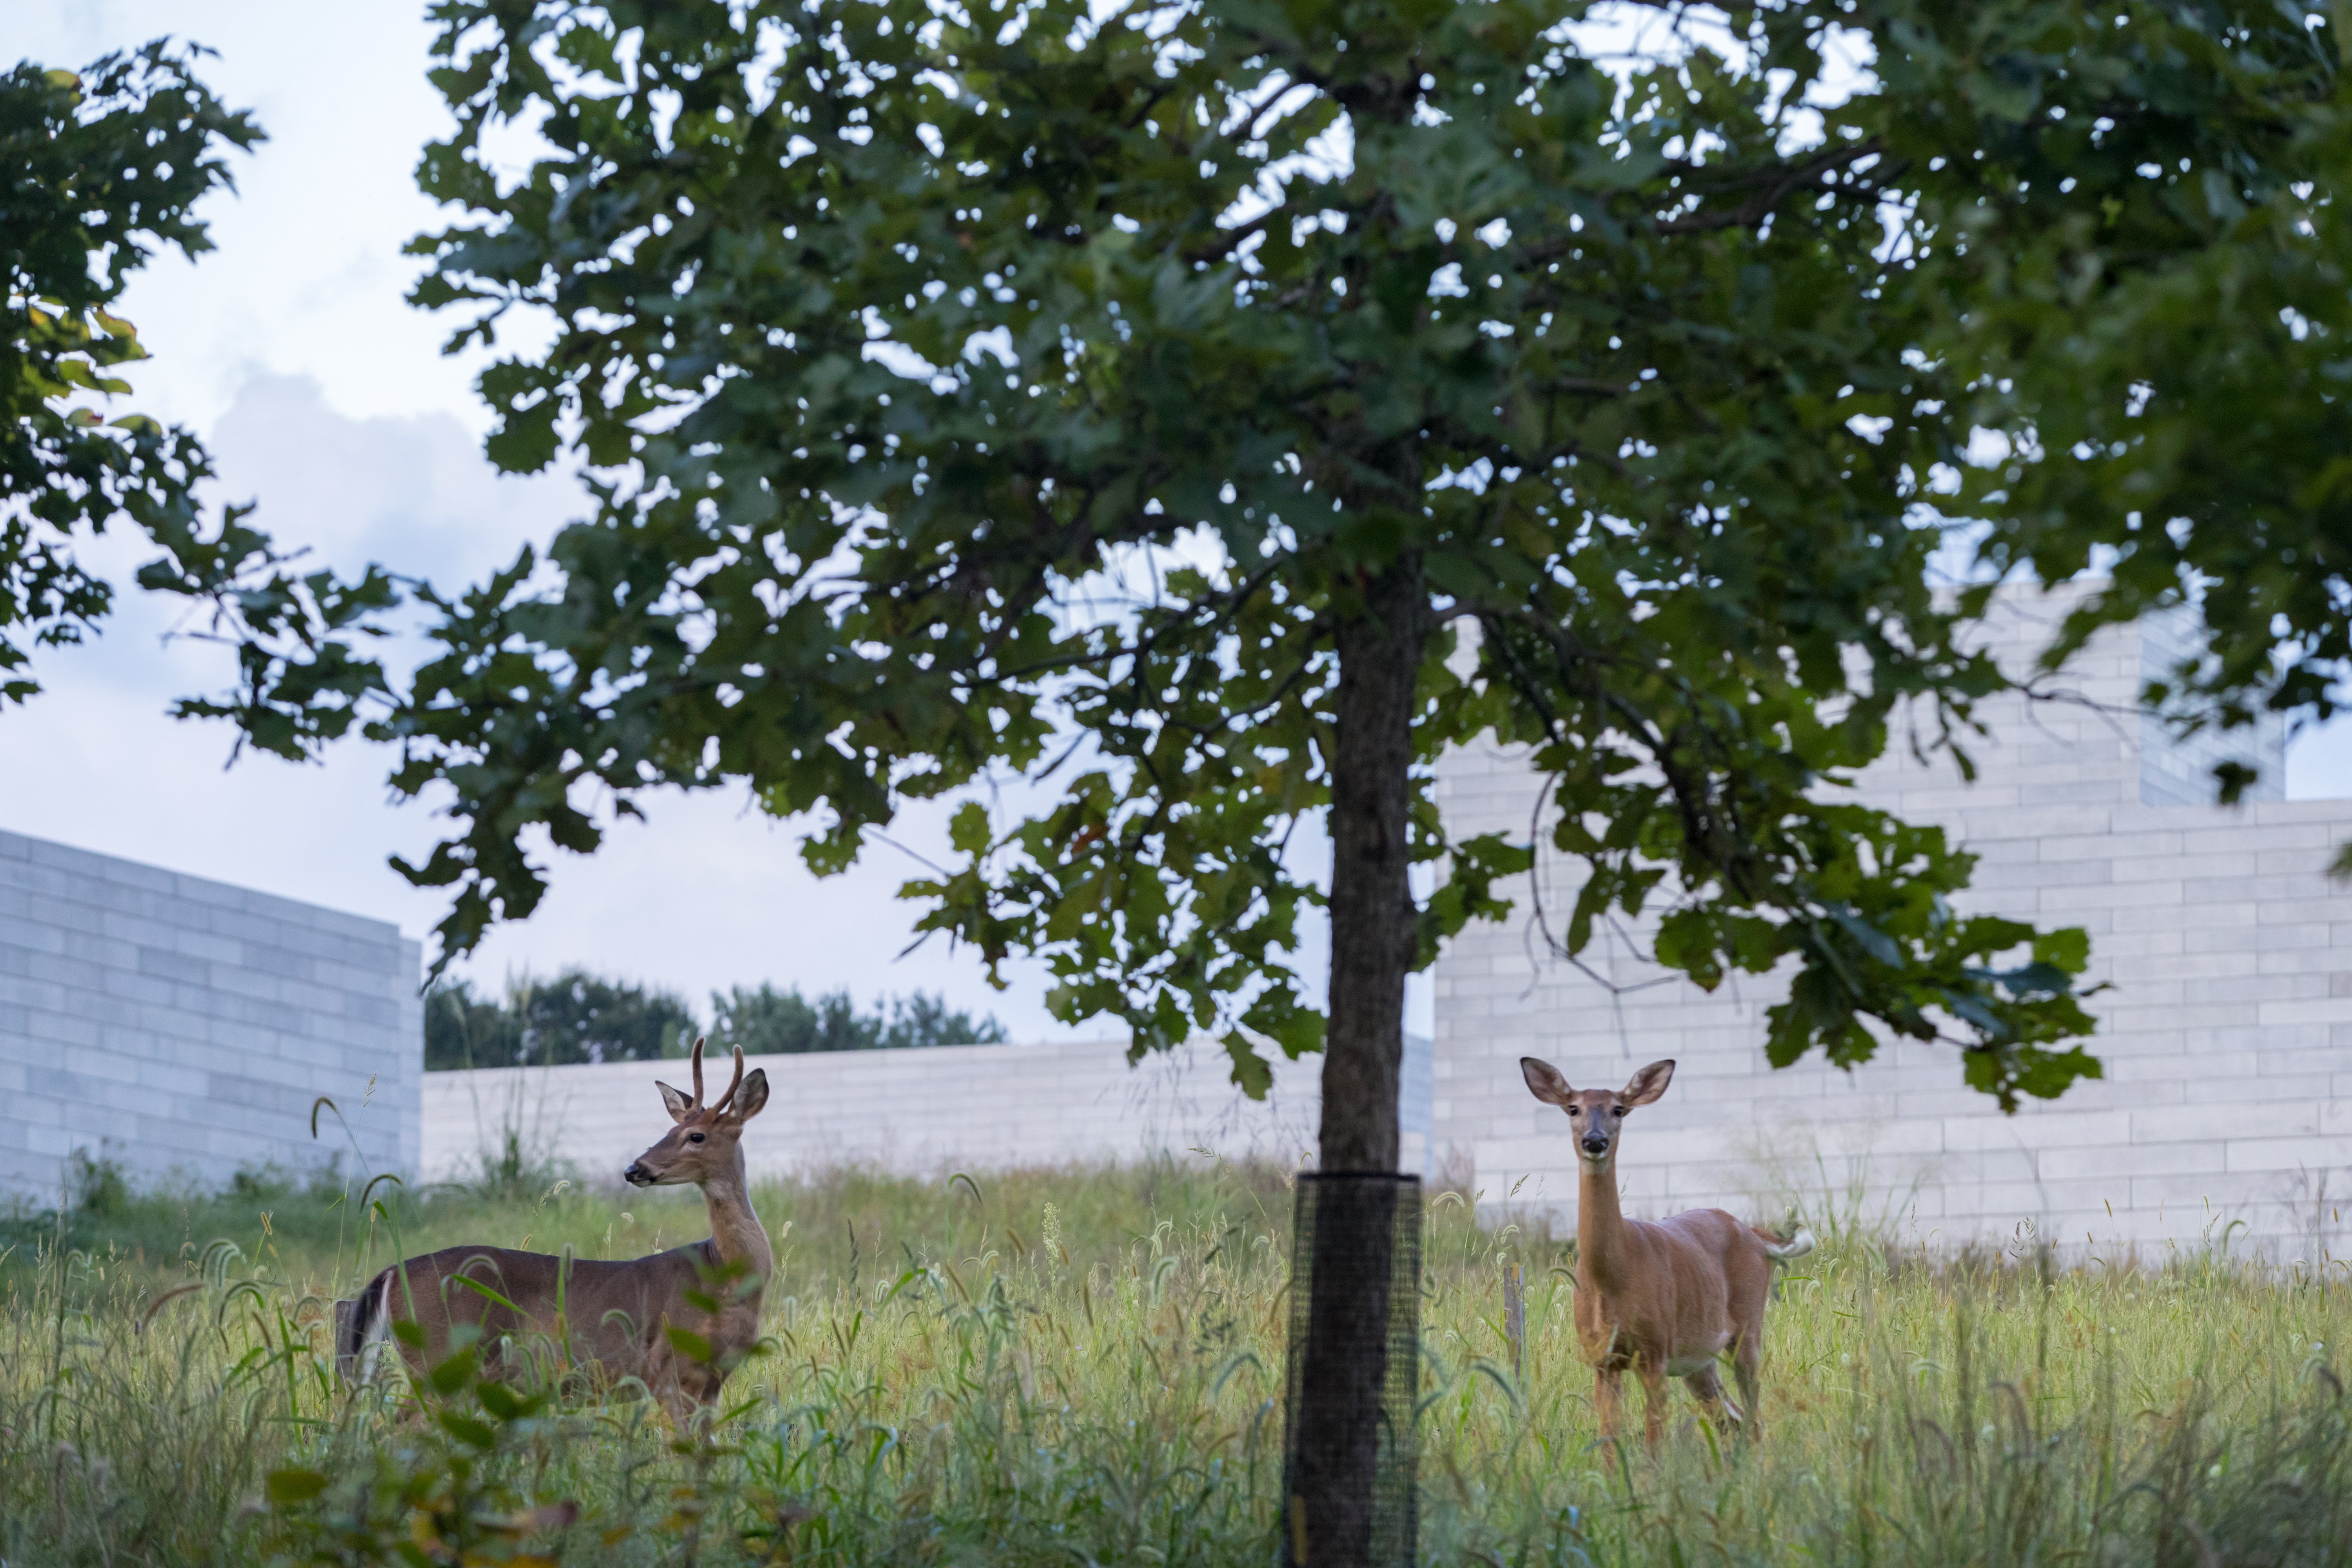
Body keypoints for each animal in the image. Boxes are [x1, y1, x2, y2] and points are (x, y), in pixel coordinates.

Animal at [334, 1037, 773, 1423]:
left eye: (696, 1136)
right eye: (668, 1132)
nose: (635, 1169)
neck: (725, 1273)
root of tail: (389, 1273)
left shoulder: (709, 1382)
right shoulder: (672, 1367)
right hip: (440, 1362)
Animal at [1519, 1055, 1814, 1451]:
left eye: (1619, 1109)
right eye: (1573, 1108)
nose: (1594, 1140)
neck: (1612, 1279)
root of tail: (1754, 1234)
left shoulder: (1655, 1353)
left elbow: (1653, 1447)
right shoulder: (1602, 1359)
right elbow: (1610, 1446)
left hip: (1747, 1327)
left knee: (1754, 1417)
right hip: (1699, 1358)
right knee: (1732, 1418)